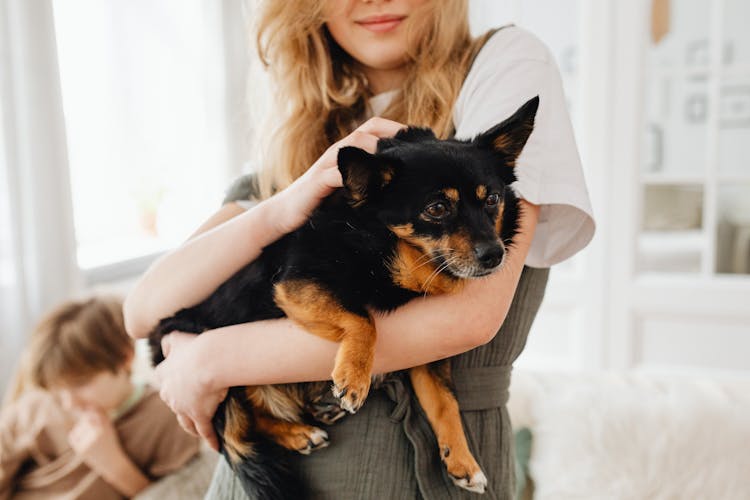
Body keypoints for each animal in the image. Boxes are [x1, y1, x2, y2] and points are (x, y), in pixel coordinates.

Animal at [150, 95, 536, 498]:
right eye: (437, 208)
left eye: (492, 199)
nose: (495, 255)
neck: (391, 250)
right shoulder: (297, 284)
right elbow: (361, 319)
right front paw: (354, 377)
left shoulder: (428, 357)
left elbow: (445, 402)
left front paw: (461, 459)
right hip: (222, 389)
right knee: (237, 434)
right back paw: (302, 430)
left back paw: (307, 427)